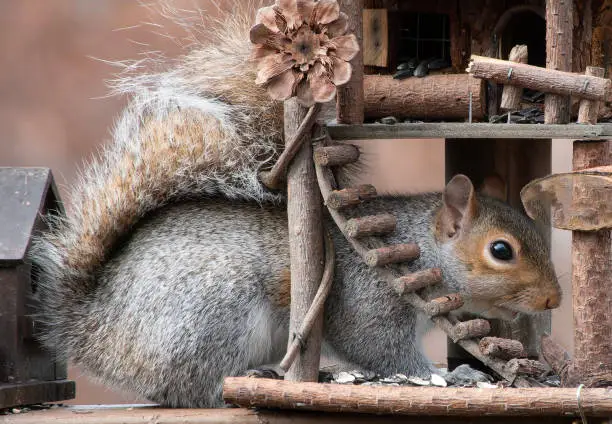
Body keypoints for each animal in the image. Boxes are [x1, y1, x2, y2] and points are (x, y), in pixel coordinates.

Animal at [31, 2, 560, 408]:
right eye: (501, 251)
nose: (554, 300)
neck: (421, 245)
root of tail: (93, 331)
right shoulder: (367, 296)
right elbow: (380, 349)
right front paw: (448, 375)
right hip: (209, 317)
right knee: (191, 388)